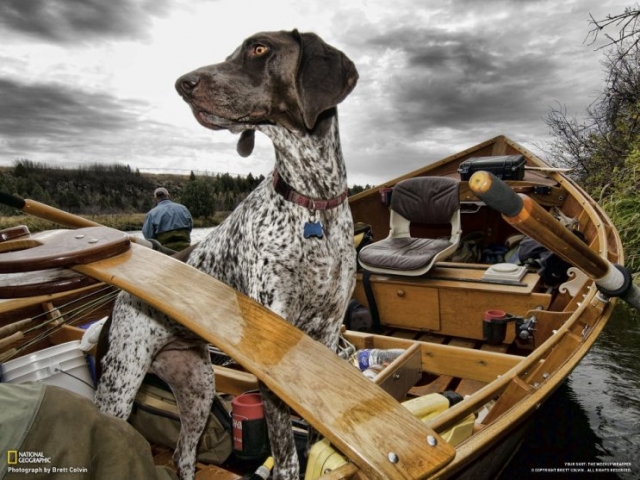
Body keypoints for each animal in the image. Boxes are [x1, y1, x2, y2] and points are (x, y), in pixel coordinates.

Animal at [93, 31, 358, 480]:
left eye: (259, 48)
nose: (182, 83)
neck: (312, 203)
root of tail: (117, 301)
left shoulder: (325, 337)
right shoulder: (274, 353)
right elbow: (286, 454)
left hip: (197, 384)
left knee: (184, 454)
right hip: (120, 384)